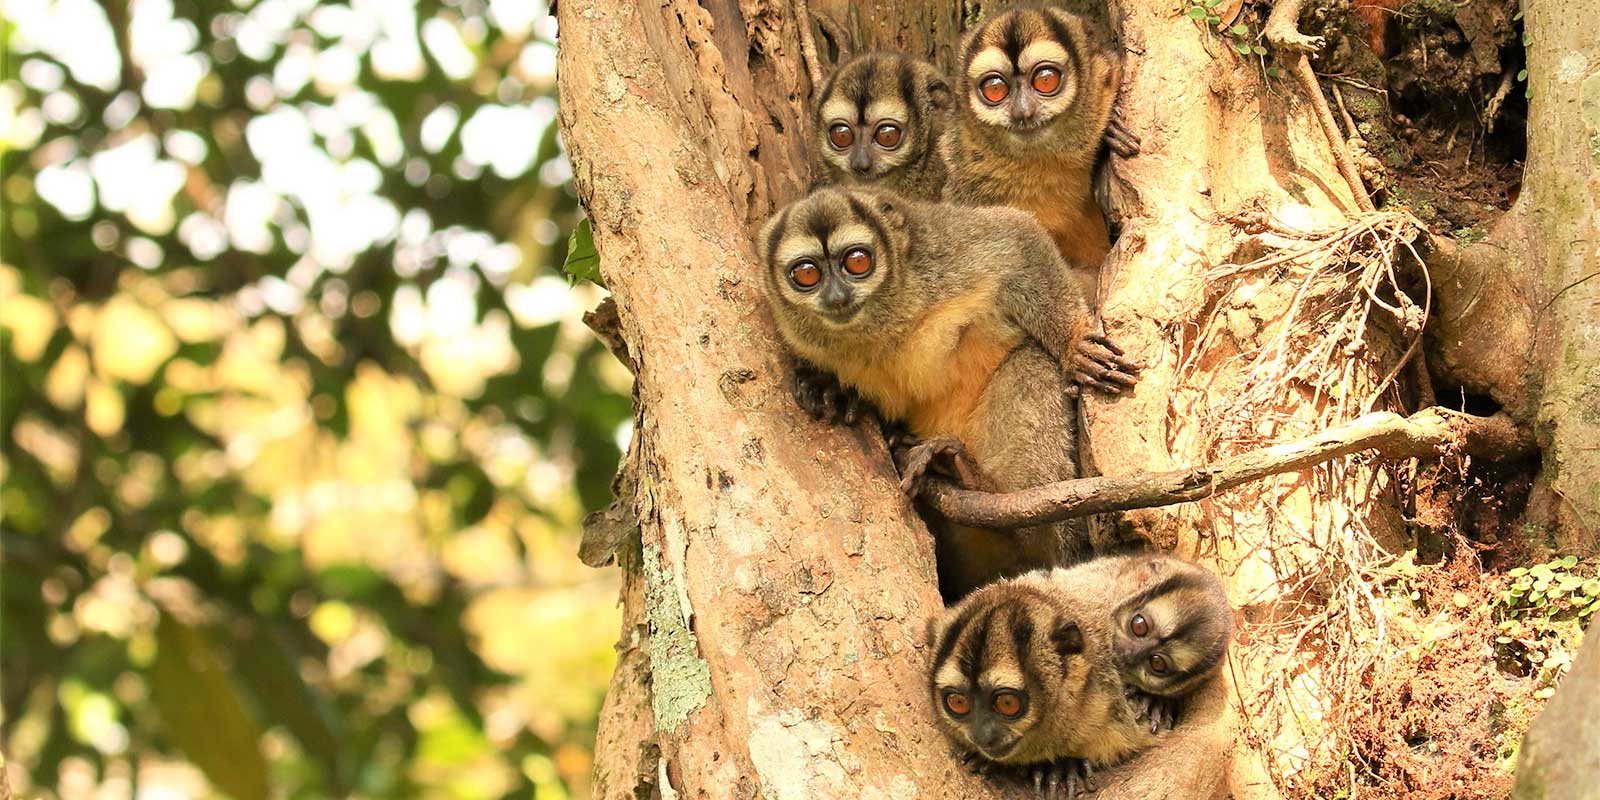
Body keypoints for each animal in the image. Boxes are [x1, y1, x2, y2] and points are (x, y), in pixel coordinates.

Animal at [758, 186, 1139, 599]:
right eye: (806, 273)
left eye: (857, 262)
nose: (836, 296)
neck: (879, 326)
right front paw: (829, 390)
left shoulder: (942, 255)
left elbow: (1018, 236)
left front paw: (1074, 345)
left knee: (1032, 362)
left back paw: (977, 482)